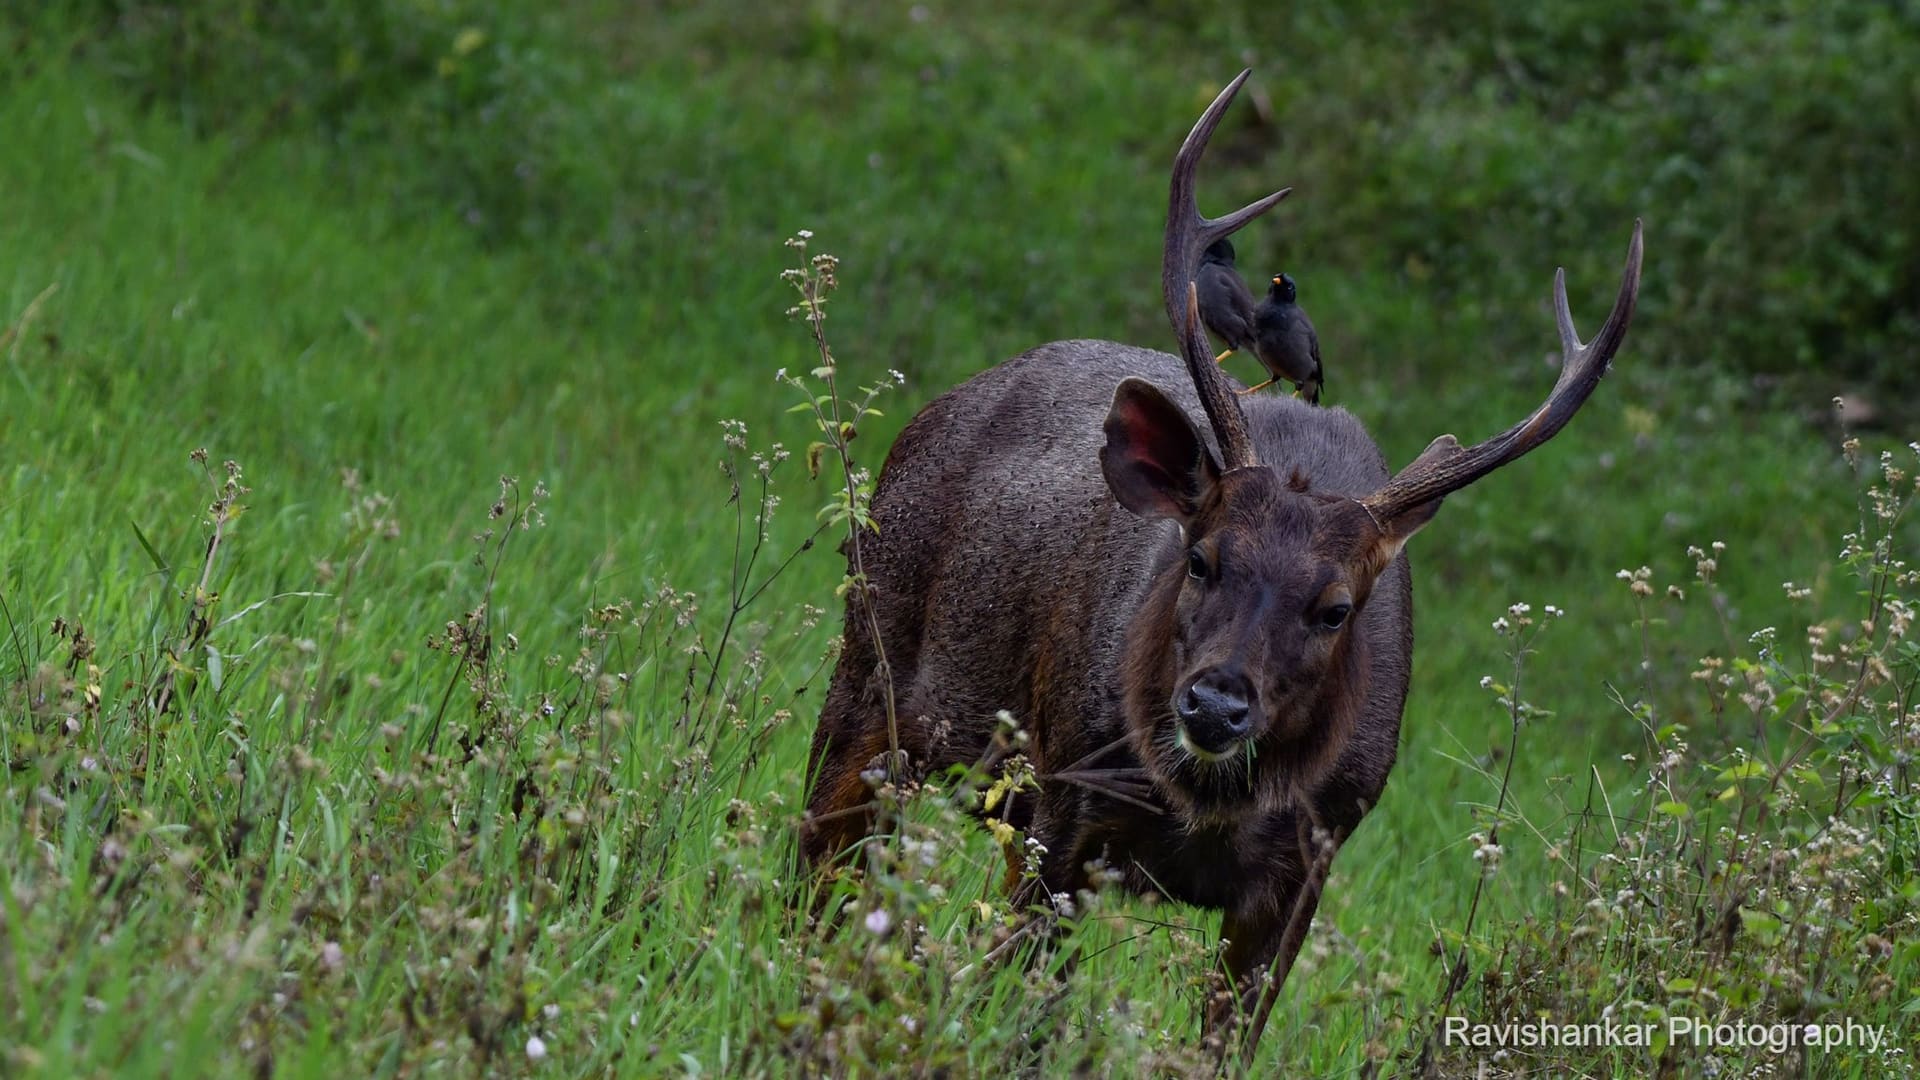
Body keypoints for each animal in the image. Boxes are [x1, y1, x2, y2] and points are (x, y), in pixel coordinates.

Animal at [800, 69, 1643, 1058]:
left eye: (1337, 607)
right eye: (1199, 559)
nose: (1213, 704)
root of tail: (934, 409)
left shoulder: (1308, 867)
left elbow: (1224, 1039)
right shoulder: (1068, 803)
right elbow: (1018, 1003)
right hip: (873, 670)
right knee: (815, 874)